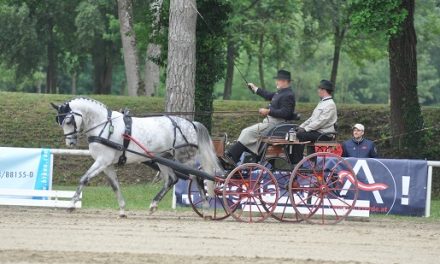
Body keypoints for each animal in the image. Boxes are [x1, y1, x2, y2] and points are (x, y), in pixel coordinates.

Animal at [51, 97, 222, 217]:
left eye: (68, 120)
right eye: (59, 121)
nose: (70, 142)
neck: (104, 125)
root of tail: (191, 124)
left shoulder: (102, 161)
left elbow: (84, 179)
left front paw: (71, 205)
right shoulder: (107, 165)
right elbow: (115, 186)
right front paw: (122, 210)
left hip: (185, 159)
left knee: (198, 177)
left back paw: (206, 209)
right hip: (163, 159)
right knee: (171, 180)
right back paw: (153, 205)